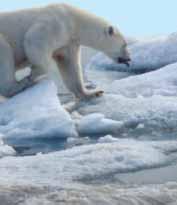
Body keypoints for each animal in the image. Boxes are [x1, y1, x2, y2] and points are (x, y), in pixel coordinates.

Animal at [0, 3, 130, 99]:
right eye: (125, 45)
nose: (129, 59)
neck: (74, 21)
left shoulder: (68, 42)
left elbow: (70, 66)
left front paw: (92, 92)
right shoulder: (56, 24)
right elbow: (34, 40)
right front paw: (34, 74)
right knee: (5, 54)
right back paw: (19, 85)